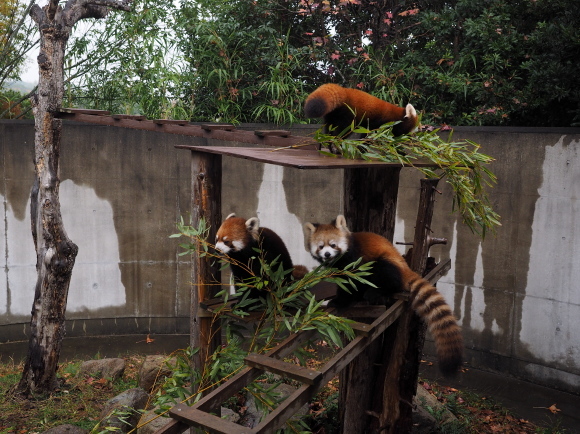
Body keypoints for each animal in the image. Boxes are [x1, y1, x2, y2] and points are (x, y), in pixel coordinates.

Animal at [304, 215, 462, 374]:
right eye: (321, 247)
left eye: (333, 245)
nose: (327, 254)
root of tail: (406, 268)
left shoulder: (355, 260)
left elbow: (352, 283)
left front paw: (340, 301)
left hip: (386, 264)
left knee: (387, 274)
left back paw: (376, 292)